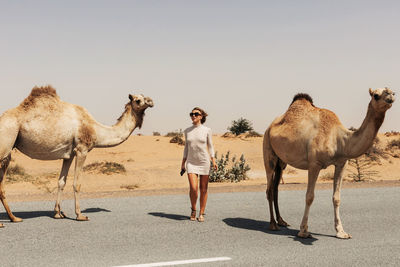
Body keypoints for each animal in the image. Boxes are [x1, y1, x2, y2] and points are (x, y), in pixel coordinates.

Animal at [0, 86, 154, 228]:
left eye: (144, 96)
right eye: (138, 100)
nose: (151, 101)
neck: (95, 129)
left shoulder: (69, 155)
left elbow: (61, 182)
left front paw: (58, 213)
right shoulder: (82, 150)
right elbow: (77, 183)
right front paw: (80, 215)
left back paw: (14, 218)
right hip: (6, 142)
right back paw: (5, 222)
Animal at [262, 88, 394, 239]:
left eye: (393, 92)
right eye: (376, 95)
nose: (390, 95)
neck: (340, 140)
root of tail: (270, 127)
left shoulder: (342, 163)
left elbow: (336, 197)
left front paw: (341, 231)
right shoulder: (314, 164)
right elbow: (309, 196)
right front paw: (303, 231)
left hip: (281, 162)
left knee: (276, 187)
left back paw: (282, 221)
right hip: (268, 150)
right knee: (269, 188)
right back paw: (273, 224)